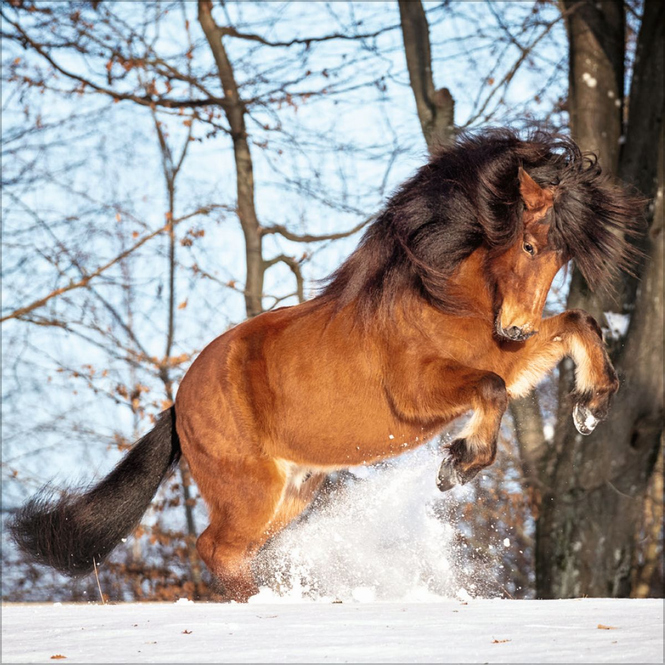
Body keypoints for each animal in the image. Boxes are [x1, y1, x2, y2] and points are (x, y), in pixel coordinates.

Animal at [10, 129, 642, 602]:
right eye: (530, 246)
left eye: (562, 256)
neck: (441, 297)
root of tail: (180, 403)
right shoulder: (420, 390)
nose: (515, 327)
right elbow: (489, 389)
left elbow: (576, 325)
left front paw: (591, 406)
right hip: (251, 492)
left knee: (238, 551)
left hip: (293, 492)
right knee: (217, 549)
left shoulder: (510, 359)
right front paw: (457, 465)